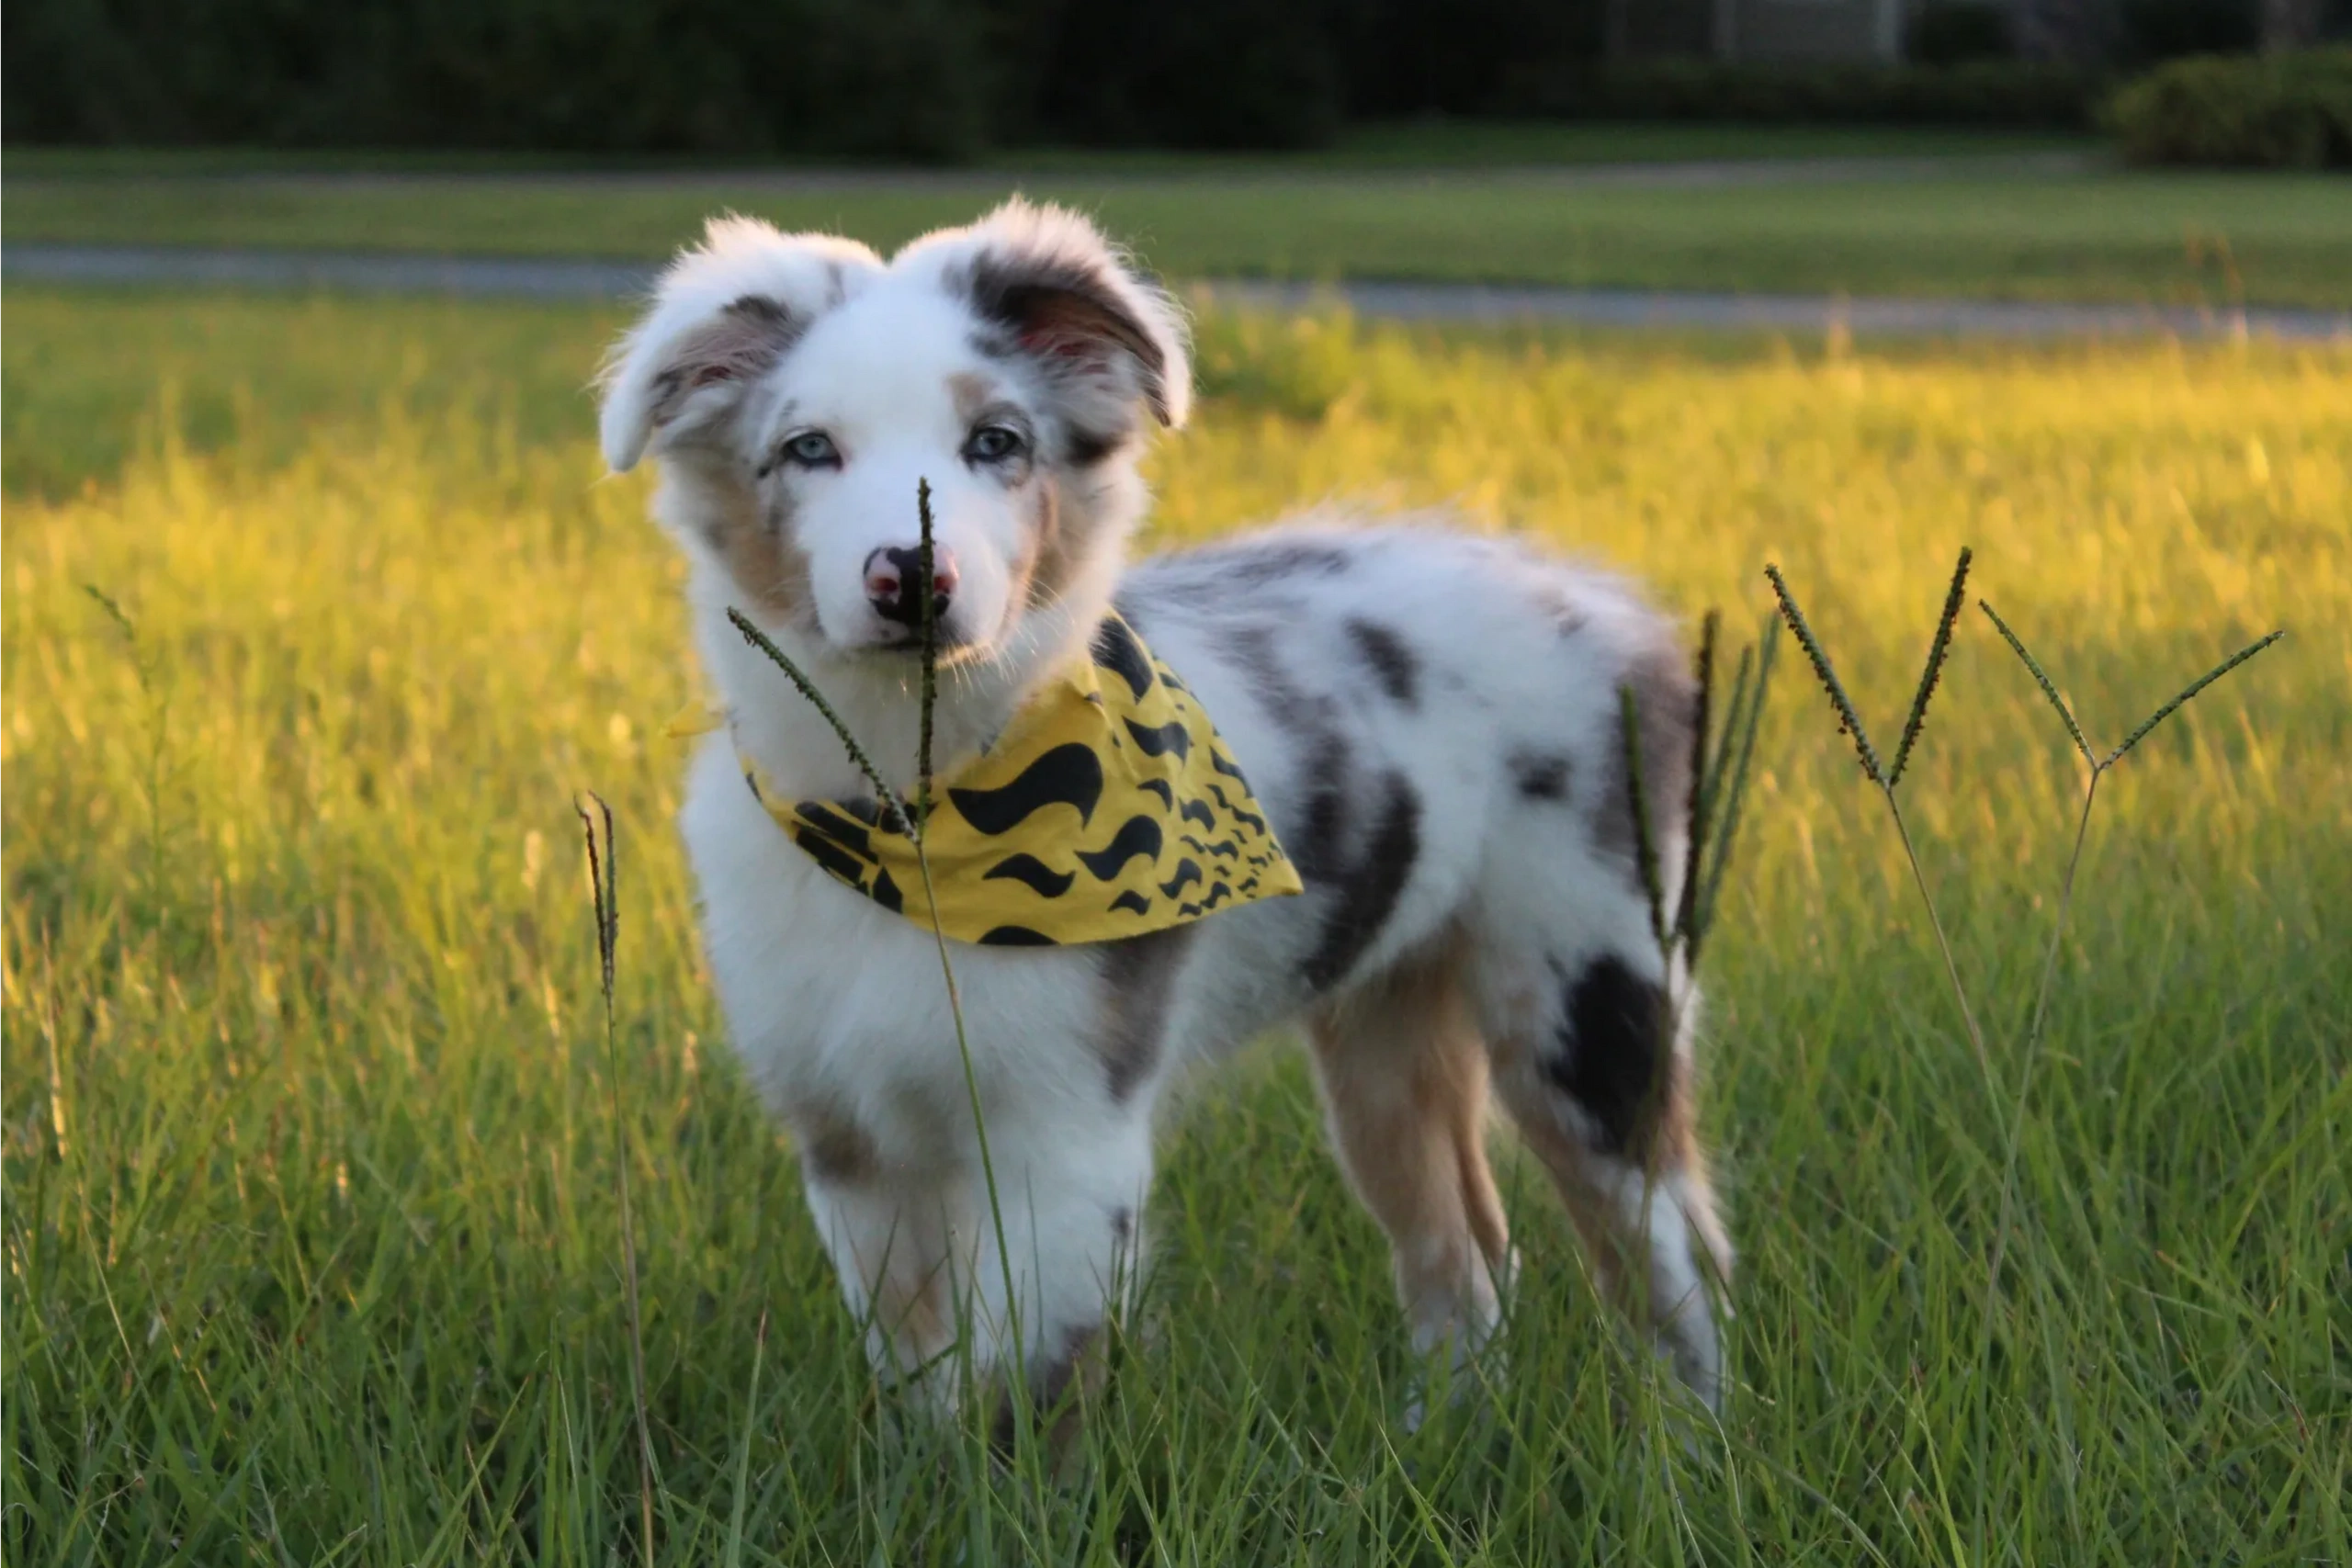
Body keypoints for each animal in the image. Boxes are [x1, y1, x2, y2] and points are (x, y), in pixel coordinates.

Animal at [593, 196, 1731, 1438]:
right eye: (809, 449)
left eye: (996, 443)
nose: (913, 578)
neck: (914, 822)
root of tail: (1612, 608)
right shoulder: (848, 1140)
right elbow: (921, 1387)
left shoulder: (1067, 1131)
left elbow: (1029, 1399)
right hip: (1384, 1032)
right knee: (1464, 1258)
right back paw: (1440, 1440)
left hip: (1590, 999)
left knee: (1674, 1258)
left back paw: (1689, 1450)